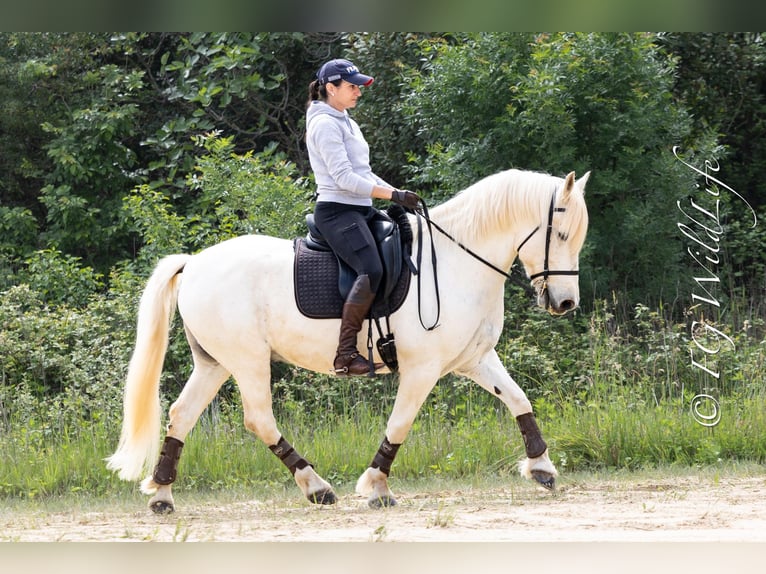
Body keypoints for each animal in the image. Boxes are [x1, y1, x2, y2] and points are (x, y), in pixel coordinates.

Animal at [106, 168, 590, 513]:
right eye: (562, 234)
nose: (565, 303)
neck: (456, 260)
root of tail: (193, 263)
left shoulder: (475, 358)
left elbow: (518, 398)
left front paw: (542, 467)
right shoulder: (423, 369)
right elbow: (400, 424)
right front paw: (376, 487)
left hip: (215, 363)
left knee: (181, 415)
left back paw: (162, 494)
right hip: (247, 361)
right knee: (259, 419)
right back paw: (316, 487)